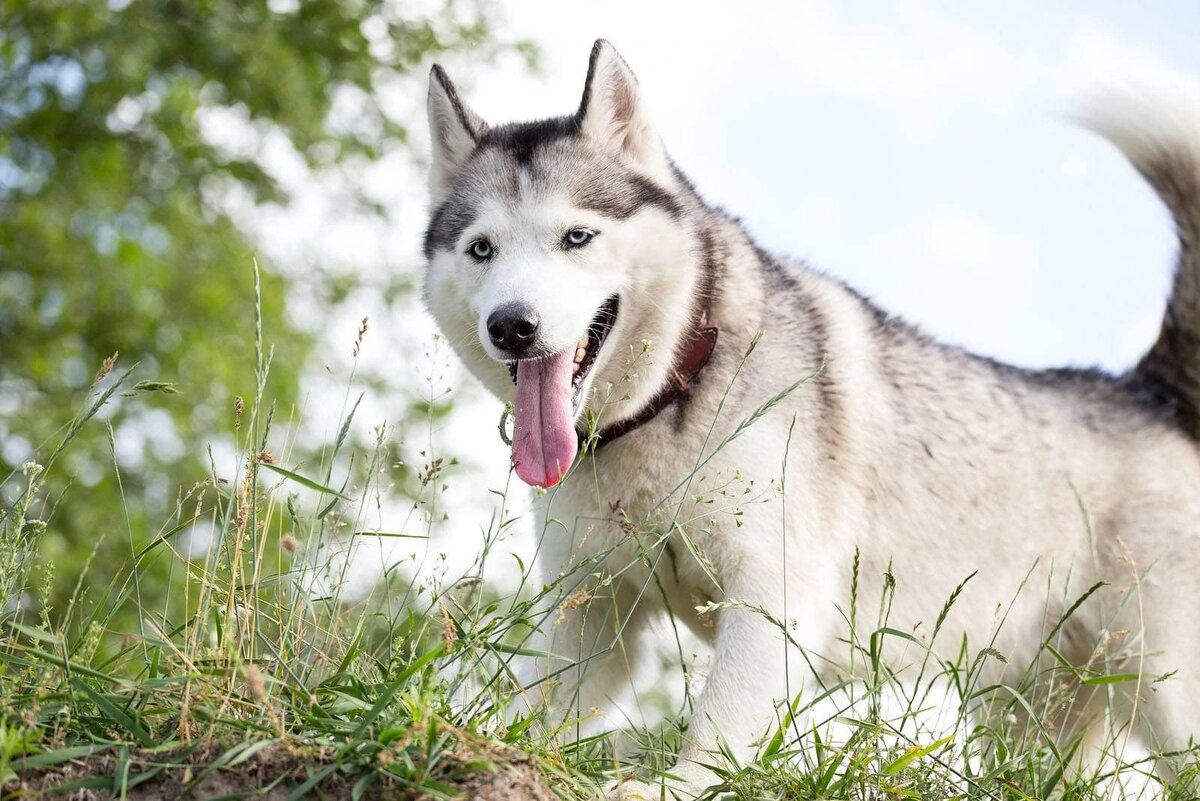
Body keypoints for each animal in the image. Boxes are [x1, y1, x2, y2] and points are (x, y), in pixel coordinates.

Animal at [422, 40, 1200, 796]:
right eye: (481, 249)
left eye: (577, 238)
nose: (512, 326)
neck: (675, 389)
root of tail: (1144, 394)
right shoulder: (592, 604)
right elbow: (540, 702)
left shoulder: (775, 591)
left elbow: (720, 720)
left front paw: (674, 783)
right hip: (1040, 709)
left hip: (1164, 693)